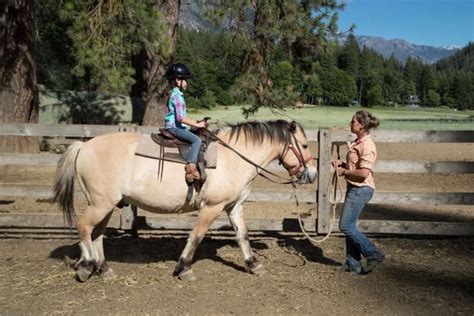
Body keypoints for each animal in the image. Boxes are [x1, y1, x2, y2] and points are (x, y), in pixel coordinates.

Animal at [51, 119, 316, 282]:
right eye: (304, 145)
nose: (312, 174)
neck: (233, 157)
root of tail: (83, 146)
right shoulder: (212, 207)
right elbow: (196, 236)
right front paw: (184, 267)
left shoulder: (234, 207)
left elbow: (243, 236)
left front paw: (253, 264)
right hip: (101, 204)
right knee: (83, 227)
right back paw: (87, 264)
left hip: (105, 205)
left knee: (96, 233)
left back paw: (103, 269)